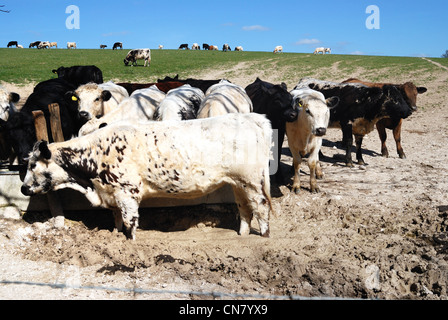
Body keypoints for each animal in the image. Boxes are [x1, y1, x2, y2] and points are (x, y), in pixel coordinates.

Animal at [21, 112, 274, 240]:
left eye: (33, 164)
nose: (23, 188)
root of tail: (252, 117)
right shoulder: (112, 192)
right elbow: (116, 218)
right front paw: (115, 235)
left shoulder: (127, 192)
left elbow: (129, 221)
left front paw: (129, 242)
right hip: (238, 183)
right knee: (244, 207)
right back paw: (242, 234)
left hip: (251, 181)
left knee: (260, 206)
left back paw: (264, 235)